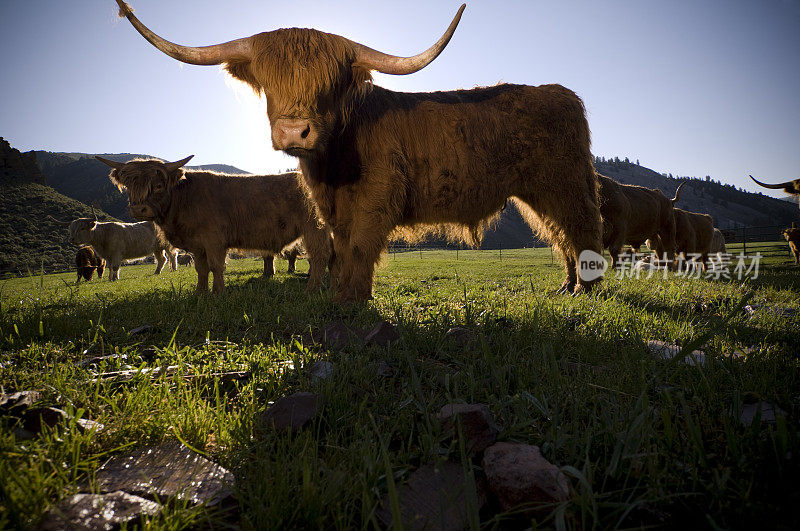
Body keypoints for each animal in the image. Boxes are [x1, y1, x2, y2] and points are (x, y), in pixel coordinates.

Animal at [98, 156, 332, 296]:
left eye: (157, 186)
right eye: (129, 186)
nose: (139, 210)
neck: (183, 199)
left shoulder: (214, 240)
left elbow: (216, 266)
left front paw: (218, 292)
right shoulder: (196, 245)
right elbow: (201, 269)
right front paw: (200, 293)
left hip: (314, 228)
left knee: (319, 257)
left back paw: (312, 289)